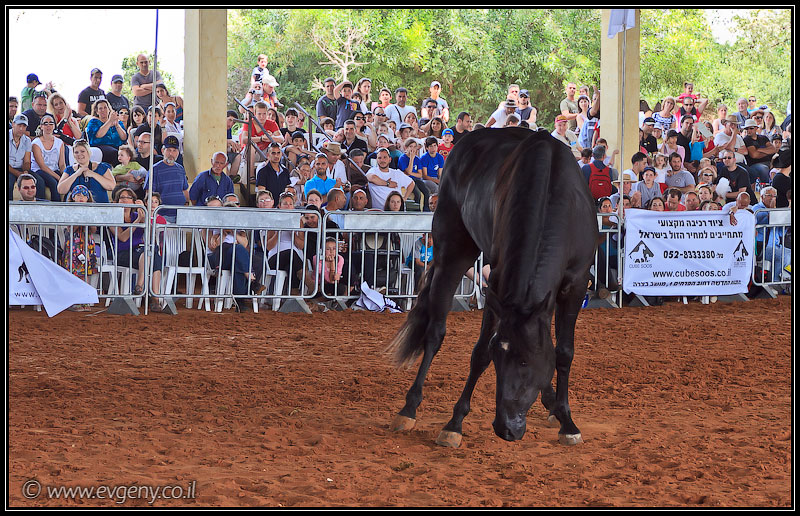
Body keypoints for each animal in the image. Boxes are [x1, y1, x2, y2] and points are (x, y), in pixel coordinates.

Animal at [387, 127, 598, 448]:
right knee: (434, 331)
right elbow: (480, 353)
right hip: (453, 250)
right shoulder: (498, 287)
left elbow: (562, 352)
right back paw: (408, 408)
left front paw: (567, 421)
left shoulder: (574, 285)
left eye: (524, 361)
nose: (505, 428)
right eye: (500, 357)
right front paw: (454, 423)